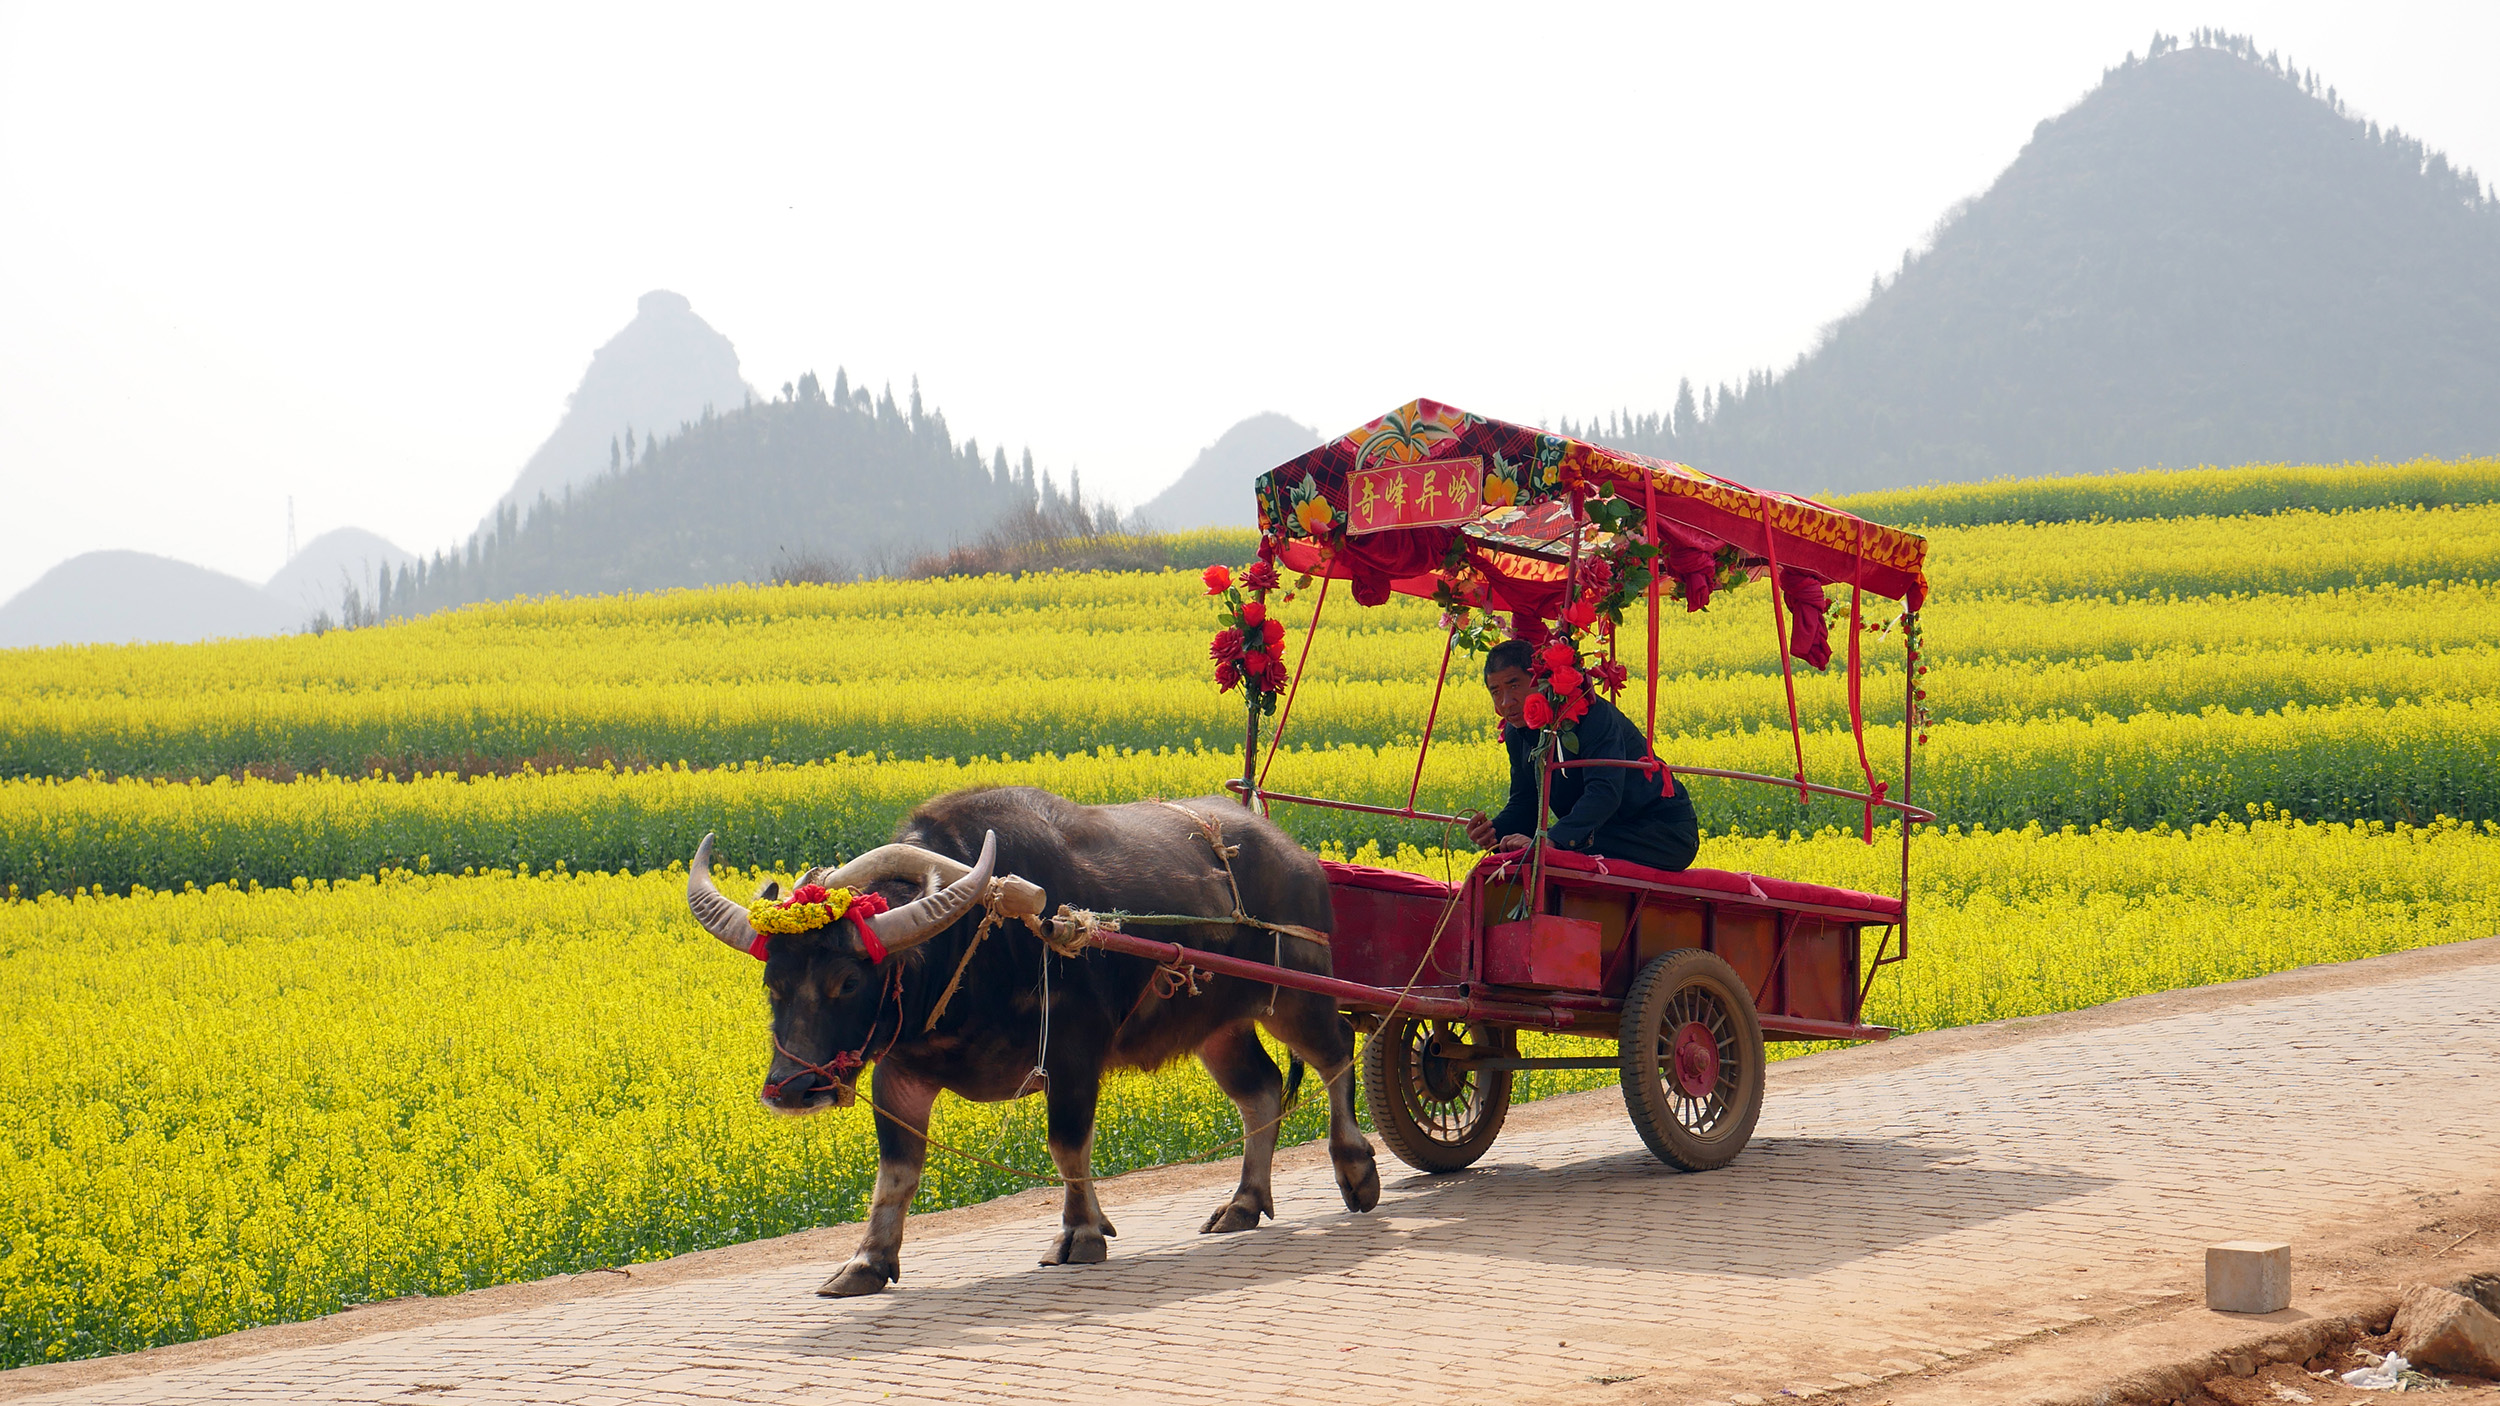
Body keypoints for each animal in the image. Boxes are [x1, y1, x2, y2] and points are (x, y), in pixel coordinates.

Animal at [685, 780, 1390, 1290]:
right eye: (773, 982)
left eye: (847, 982)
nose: (790, 1089)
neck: (972, 945)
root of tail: (1297, 857)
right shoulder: (900, 1074)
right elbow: (897, 1172)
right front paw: (866, 1262)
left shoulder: (1074, 1055)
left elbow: (1067, 1146)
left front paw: (1080, 1235)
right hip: (1218, 1027)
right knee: (1262, 1091)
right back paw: (1242, 1203)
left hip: (1297, 991)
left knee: (1336, 1056)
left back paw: (1356, 1171)